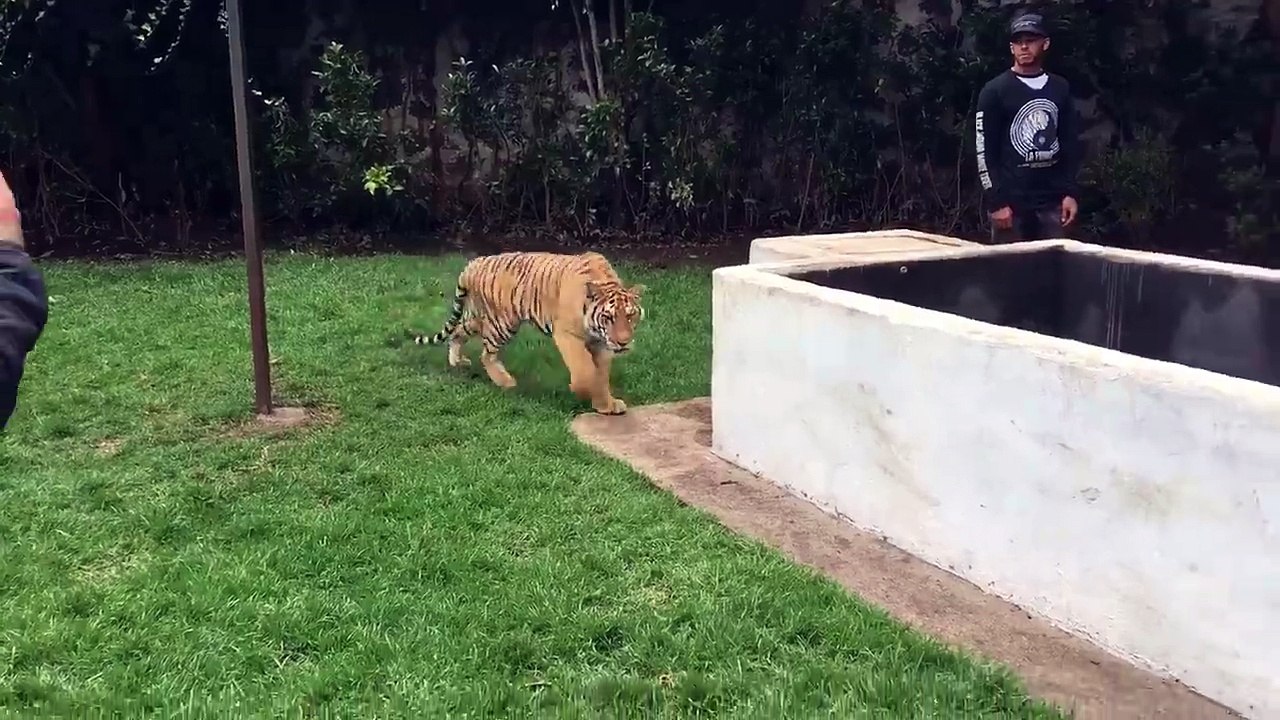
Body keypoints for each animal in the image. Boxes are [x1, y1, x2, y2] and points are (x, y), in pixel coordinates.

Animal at [411, 250, 646, 415]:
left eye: (630, 316)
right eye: (609, 317)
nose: (623, 342)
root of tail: (474, 263)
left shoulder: (602, 345)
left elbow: (601, 375)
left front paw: (606, 405)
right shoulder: (567, 334)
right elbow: (585, 370)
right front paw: (581, 389)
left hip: (478, 317)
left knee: (458, 331)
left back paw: (456, 361)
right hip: (502, 323)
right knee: (486, 354)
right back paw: (506, 382)